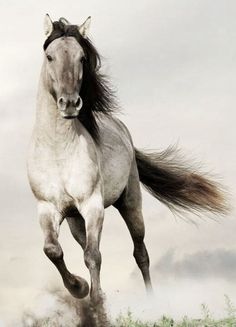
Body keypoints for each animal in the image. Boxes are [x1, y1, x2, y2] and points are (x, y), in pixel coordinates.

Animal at [26, 13, 228, 304]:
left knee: (140, 253)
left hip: (130, 202)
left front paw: (96, 300)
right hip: (75, 219)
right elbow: (53, 250)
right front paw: (79, 288)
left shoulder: (93, 205)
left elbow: (93, 256)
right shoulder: (48, 208)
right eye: (50, 56)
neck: (57, 150)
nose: (70, 104)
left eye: (82, 58)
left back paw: (151, 300)